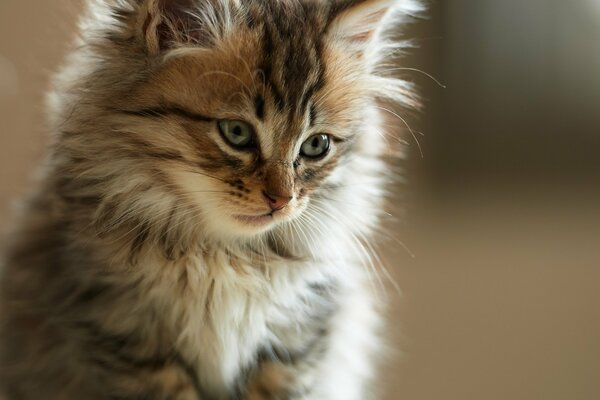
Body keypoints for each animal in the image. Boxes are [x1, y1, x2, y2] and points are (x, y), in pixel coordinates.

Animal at [0, 0, 422, 400]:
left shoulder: (296, 341)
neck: (221, 253)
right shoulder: (125, 333)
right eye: (236, 133)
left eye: (316, 145)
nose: (281, 199)